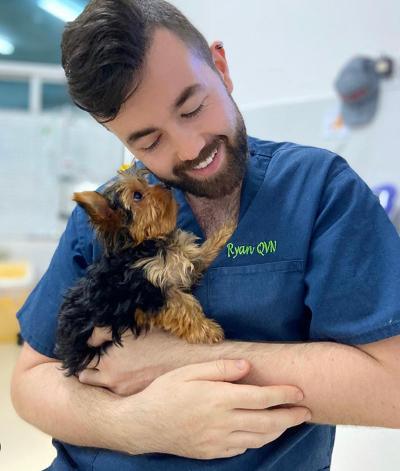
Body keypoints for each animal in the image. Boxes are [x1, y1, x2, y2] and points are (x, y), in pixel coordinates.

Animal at [53, 171, 234, 378]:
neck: (147, 245)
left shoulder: (181, 262)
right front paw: (207, 329)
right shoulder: (147, 292)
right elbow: (182, 306)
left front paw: (226, 230)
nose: (166, 186)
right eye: (137, 196)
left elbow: (202, 254)